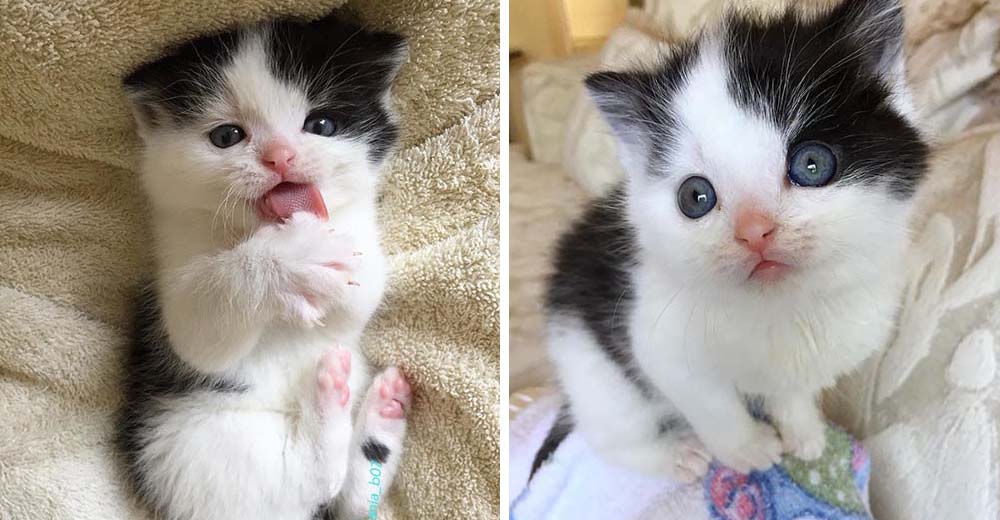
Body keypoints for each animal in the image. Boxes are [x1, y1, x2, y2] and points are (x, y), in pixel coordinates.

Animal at [117, 13, 410, 520]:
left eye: (321, 124)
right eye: (226, 136)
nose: (280, 156)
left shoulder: (363, 235)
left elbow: (359, 296)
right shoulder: (173, 270)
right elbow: (201, 333)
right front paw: (288, 261)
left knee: (342, 497)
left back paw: (378, 414)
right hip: (206, 448)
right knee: (316, 482)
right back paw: (340, 401)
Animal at [548, 0, 928, 482]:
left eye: (812, 164)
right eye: (695, 197)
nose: (753, 231)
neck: (783, 308)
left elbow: (791, 388)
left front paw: (802, 429)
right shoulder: (658, 341)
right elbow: (712, 403)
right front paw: (749, 448)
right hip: (590, 365)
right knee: (610, 435)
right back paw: (673, 454)